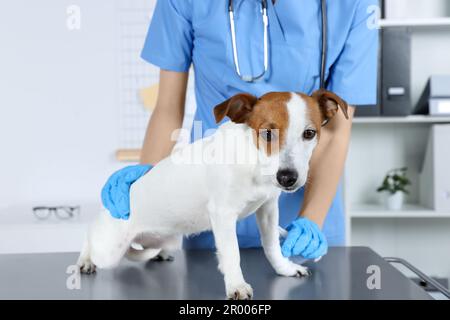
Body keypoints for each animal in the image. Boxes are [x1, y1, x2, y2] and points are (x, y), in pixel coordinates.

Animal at [77, 89, 348, 300]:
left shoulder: (268, 209)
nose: (287, 177)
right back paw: (85, 260)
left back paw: (161, 253)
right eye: (268, 133)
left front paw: (285, 268)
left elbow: (271, 245)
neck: (253, 163)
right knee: (90, 238)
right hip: (109, 249)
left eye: (309, 133)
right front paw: (237, 285)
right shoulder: (223, 215)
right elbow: (232, 253)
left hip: (164, 237)